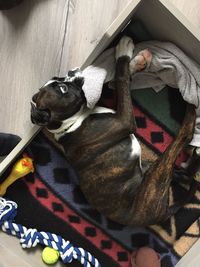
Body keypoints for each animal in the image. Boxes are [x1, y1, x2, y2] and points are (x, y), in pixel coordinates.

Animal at [30, 36, 196, 227]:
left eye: (59, 79)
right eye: (62, 89)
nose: (72, 71)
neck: (71, 123)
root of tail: (161, 214)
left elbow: (117, 82)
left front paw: (138, 61)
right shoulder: (125, 120)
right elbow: (121, 79)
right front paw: (123, 51)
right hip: (155, 180)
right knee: (183, 137)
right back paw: (191, 106)